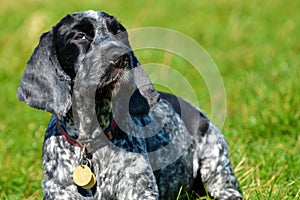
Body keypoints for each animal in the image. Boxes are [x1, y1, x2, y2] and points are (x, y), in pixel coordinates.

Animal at [16, 11, 243, 200]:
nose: (121, 56)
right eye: (80, 36)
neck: (92, 140)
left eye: (119, 33)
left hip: (215, 159)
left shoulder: (139, 189)